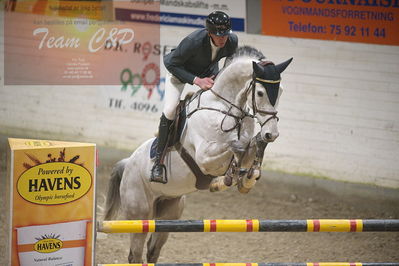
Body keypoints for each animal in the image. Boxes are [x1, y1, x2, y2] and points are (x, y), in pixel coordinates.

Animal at [104, 46, 294, 264]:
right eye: (261, 93)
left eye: (280, 91)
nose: (272, 133)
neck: (225, 108)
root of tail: (128, 163)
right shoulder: (205, 157)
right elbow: (236, 145)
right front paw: (227, 179)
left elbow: (251, 146)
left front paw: (246, 178)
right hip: (139, 215)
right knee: (135, 254)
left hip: (169, 212)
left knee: (153, 250)